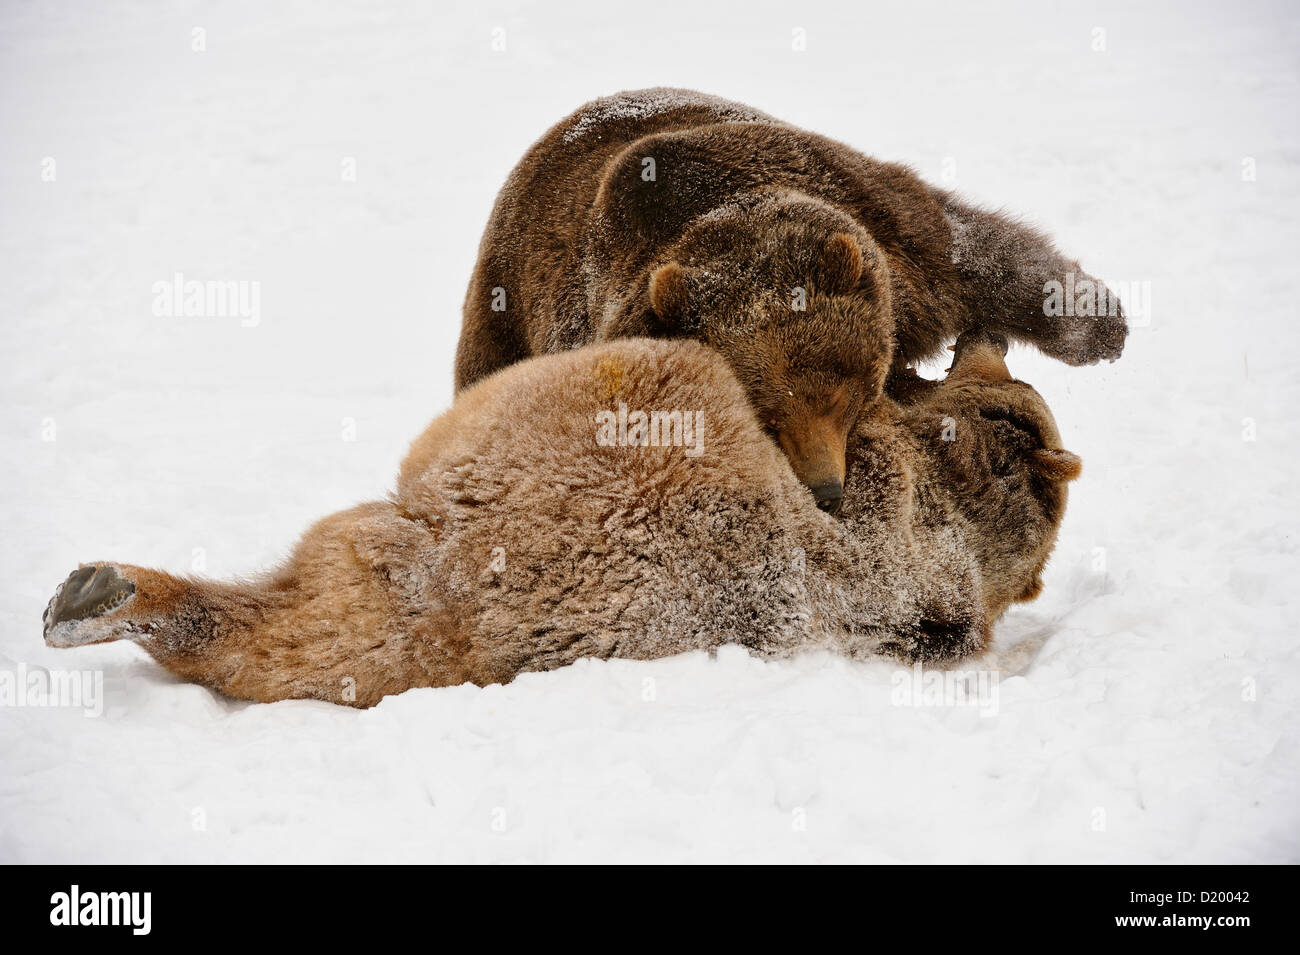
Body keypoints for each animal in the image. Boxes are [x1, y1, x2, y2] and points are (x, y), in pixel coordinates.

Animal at [457, 85, 1128, 511]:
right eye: (764, 417)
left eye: (835, 393)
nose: (826, 490)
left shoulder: (887, 234)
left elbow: (981, 255)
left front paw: (1100, 325)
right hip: (502, 314)